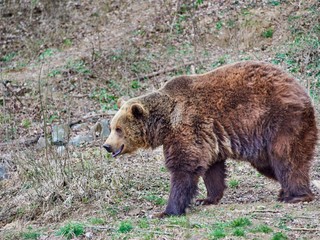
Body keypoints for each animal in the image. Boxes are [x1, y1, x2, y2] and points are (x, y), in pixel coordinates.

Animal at [104, 60, 318, 218]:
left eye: (119, 129)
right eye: (112, 127)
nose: (107, 145)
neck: (165, 122)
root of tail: (301, 90)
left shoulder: (187, 127)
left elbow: (184, 168)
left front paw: (167, 210)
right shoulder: (208, 137)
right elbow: (212, 168)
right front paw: (207, 198)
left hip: (280, 120)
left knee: (286, 157)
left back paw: (297, 196)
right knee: (270, 164)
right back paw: (285, 191)